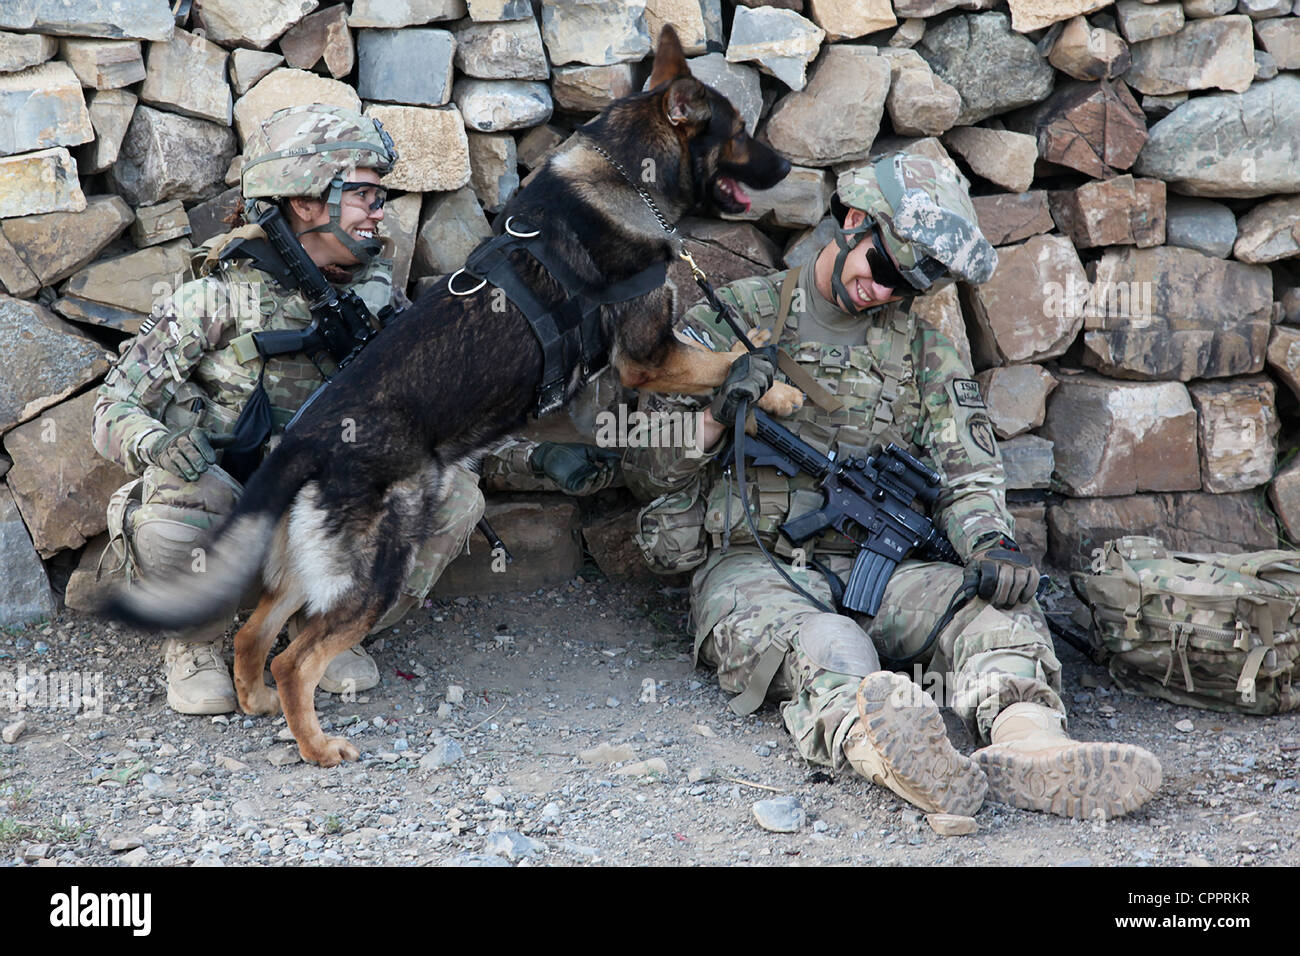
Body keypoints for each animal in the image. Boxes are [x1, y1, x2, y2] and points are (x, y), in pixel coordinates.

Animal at [109, 26, 800, 764]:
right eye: (742, 133)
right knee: (296, 657)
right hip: (378, 568)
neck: (623, 177)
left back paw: (260, 702)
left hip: (310, 562)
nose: (789, 166)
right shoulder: (650, 359)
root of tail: (304, 442)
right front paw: (779, 392)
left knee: (254, 631)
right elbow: (727, 360)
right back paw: (318, 746)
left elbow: (722, 359)